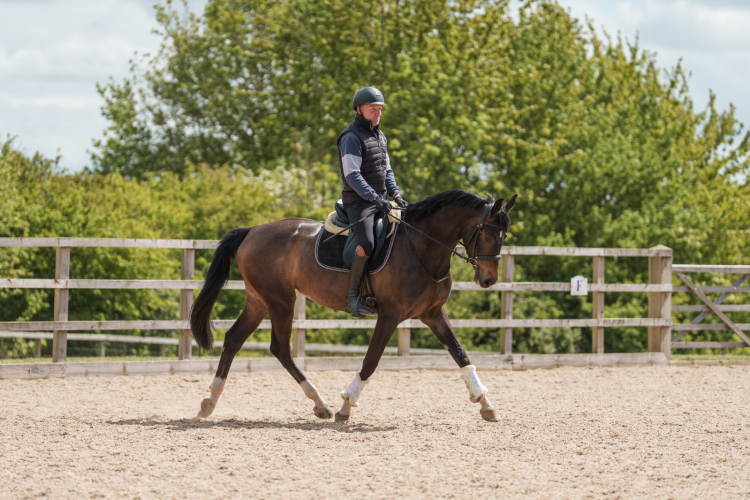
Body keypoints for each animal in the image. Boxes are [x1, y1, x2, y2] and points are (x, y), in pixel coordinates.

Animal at [190, 189, 517, 422]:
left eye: (504, 236)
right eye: (489, 235)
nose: (488, 279)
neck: (421, 247)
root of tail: (252, 231)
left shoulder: (434, 314)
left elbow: (461, 355)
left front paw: (486, 404)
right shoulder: (390, 315)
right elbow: (370, 361)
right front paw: (346, 406)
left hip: (259, 300)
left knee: (234, 339)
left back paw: (210, 402)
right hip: (281, 300)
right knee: (280, 348)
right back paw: (321, 404)